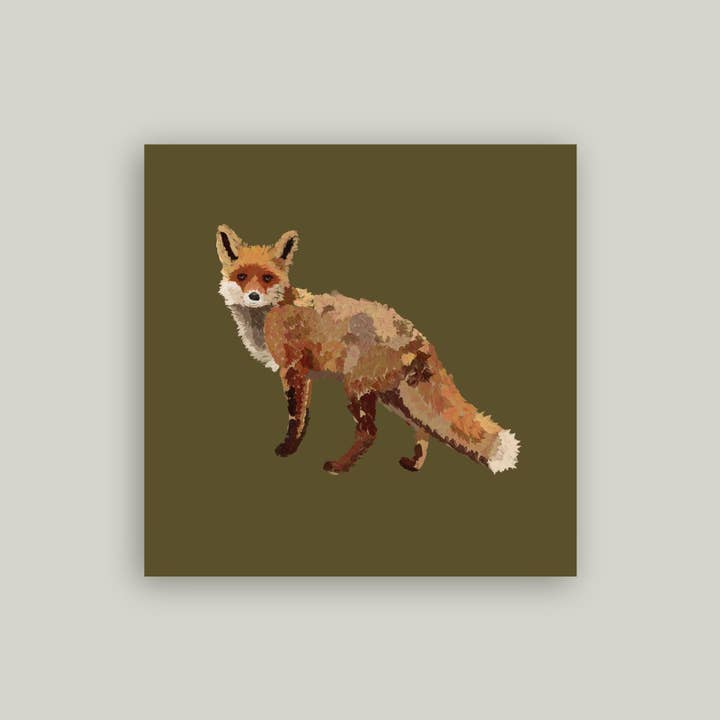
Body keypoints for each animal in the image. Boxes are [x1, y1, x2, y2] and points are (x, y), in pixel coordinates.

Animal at [216, 224, 519, 475]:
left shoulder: (294, 369)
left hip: (357, 389)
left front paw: (288, 449)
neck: (271, 312)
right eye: (242, 276)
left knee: (370, 432)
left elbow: (296, 417)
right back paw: (413, 465)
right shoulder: (304, 374)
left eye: (267, 278)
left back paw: (339, 467)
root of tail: (417, 335)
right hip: (393, 397)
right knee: (422, 429)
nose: (253, 296)